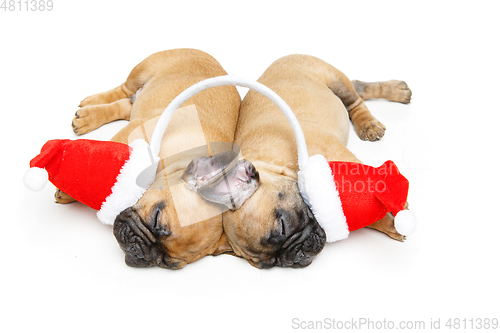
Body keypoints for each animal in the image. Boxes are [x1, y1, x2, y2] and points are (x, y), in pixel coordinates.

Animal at [53, 48, 254, 268]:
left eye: (167, 263)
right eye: (156, 217)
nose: (137, 250)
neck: (176, 164)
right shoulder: (135, 132)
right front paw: (70, 189)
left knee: (125, 106)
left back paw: (89, 116)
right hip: (142, 71)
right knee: (122, 90)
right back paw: (90, 108)